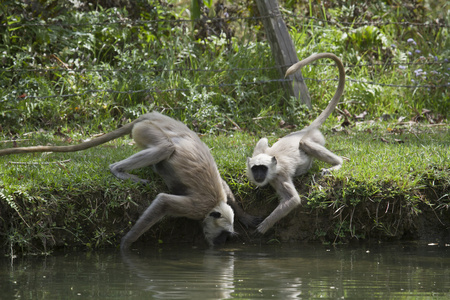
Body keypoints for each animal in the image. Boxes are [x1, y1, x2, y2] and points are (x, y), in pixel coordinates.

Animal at [0, 112, 260, 248]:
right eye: (223, 235)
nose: (222, 243)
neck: (215, 204)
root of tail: (155, 116)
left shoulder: (219, 194)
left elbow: (226, 186)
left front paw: (245, 217)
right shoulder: (197, 208)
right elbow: (163, 202)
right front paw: (125, 245)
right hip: (147, 131)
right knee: (165, 148)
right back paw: (118, 170)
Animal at [248, 52, 346, 234]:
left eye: (262, 169)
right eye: (255, 169)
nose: (258, 176)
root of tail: (304, 130)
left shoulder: (279, 177)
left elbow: (293, 200)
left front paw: (264, 226)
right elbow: (263, 140)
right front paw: (259, 187)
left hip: (312, 139)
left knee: (305, 143)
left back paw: (337, 164)